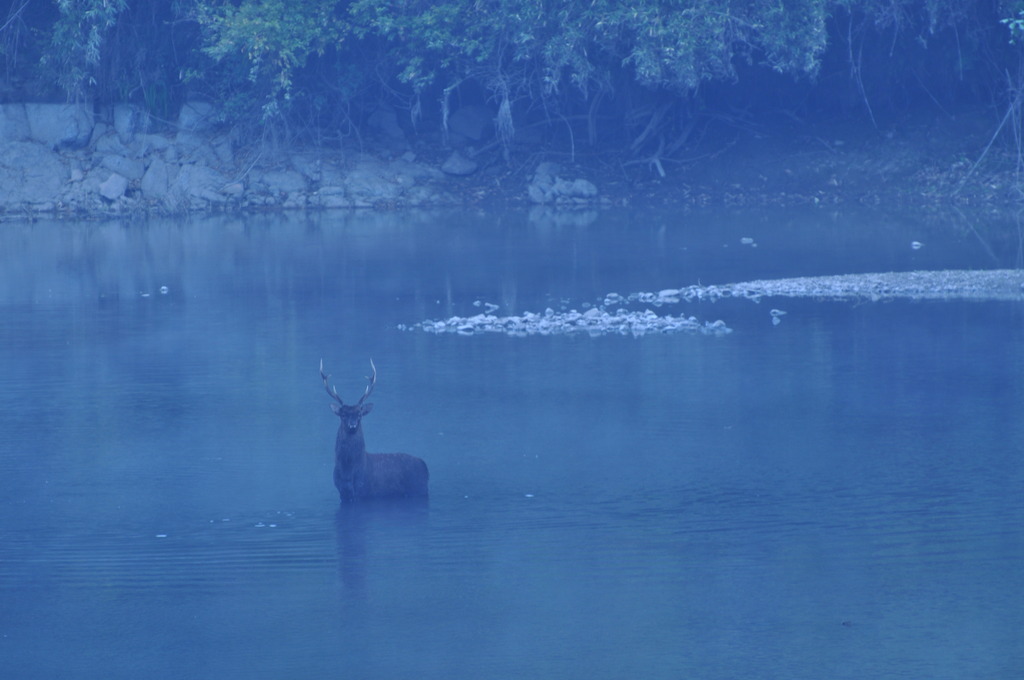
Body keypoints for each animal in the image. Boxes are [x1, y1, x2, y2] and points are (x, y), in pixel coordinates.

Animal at [321, 358, 430, 501]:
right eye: (343, 415)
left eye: (359, 414)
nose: (352, 426)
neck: (348, 471)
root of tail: (425, 467)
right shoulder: (342, 493)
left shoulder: (363, 490)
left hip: (419, 489)